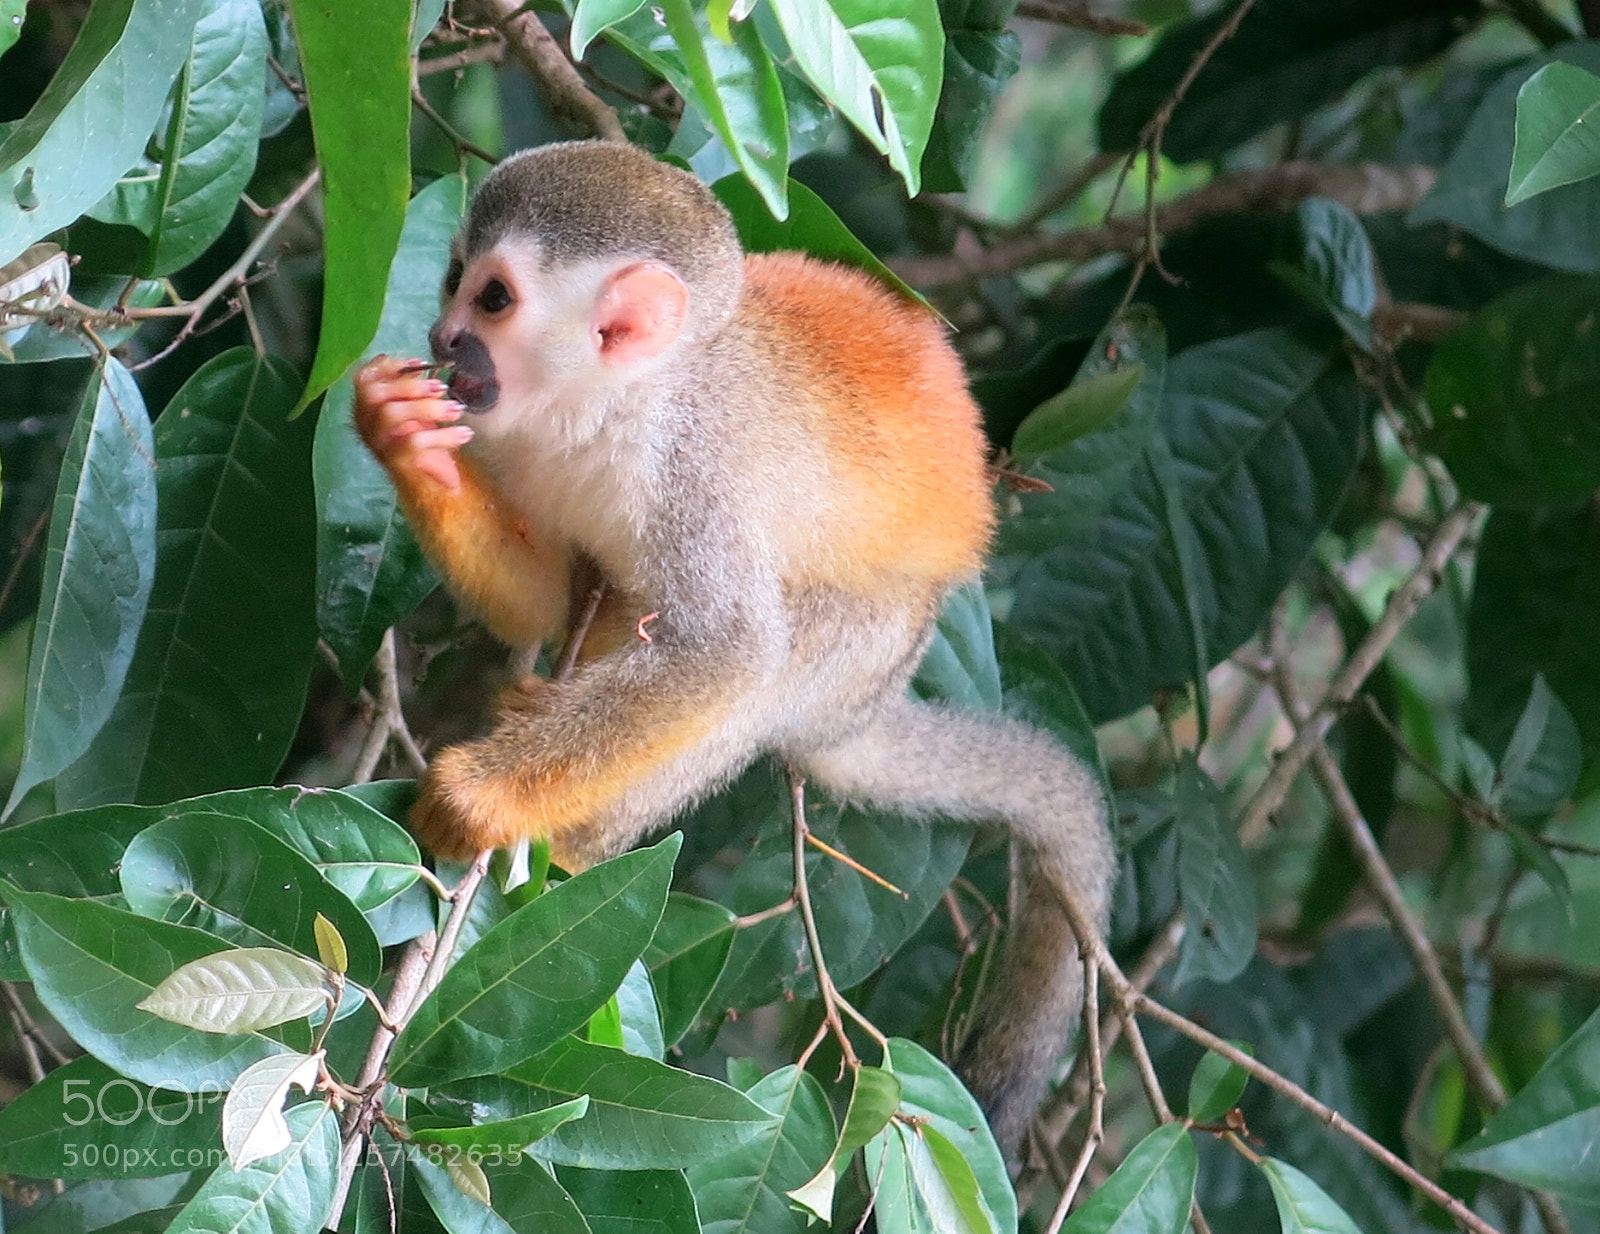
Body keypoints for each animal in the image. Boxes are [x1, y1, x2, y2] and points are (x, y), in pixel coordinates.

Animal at [351, 140, 1115, 1157]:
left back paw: (576, 844)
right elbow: (540, 602)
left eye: (496, 299)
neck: (617, 405)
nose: (441, 335)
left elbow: (729, 652)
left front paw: (478, 796)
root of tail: (868, 706)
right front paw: (403, 437)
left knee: (770, 663)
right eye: (452, 276)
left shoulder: (694, 473)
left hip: (872, 643)